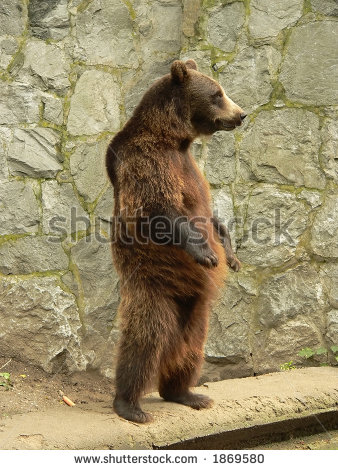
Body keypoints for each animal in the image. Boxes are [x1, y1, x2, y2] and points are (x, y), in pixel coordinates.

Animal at [105, 57, 246, 422]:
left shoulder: (191, 168)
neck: (174, 139)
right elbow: (156, 210)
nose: (241, 114)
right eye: (217, 94)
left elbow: (211, 215)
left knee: (192, 344)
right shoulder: (147, 161)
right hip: (153, 284)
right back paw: (130, 405)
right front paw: (206, 253)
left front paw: (231, 255)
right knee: (146, 337)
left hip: (195, 305)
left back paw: (187, 392)